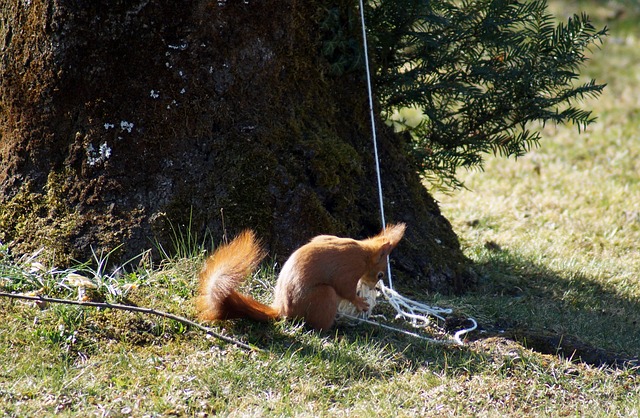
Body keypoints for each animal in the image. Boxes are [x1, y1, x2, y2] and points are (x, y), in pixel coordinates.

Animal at [196, 224, 404, 332]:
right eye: (380, 274)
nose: (375, 287)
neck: (363, 252)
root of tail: (283, 310)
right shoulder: (349, 268)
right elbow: (345, 288)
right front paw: (360, 302)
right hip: (324, 296)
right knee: (319, 324)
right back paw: (334, 326)